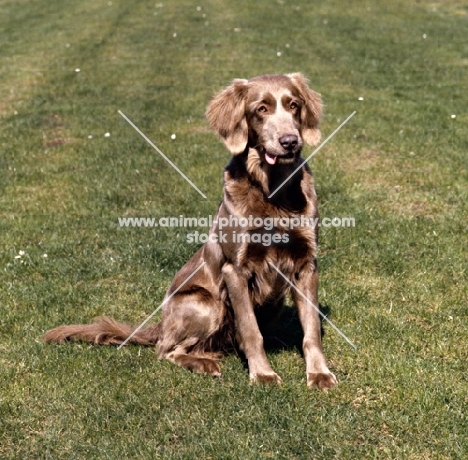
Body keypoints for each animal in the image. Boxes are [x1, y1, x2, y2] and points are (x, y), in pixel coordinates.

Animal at [44, 73, 336, 390]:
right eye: (261, 109)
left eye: (294, 105)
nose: (290, 141)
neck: (273, 190)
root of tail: (161, 325)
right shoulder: (235, 270)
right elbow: (250, 330)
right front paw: (262, 373)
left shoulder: (306, 264)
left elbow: (311, 329)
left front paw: (319, 373)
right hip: (205, 303)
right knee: (167, 350)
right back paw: (203, 363)